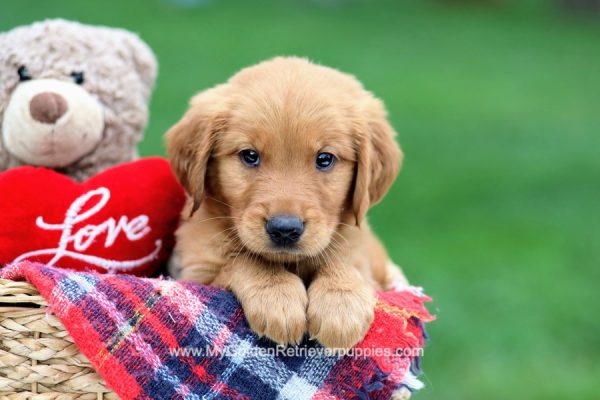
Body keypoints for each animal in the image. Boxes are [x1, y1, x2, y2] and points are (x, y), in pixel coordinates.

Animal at [166, 56, 406, 350]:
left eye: (325, 159)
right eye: (249, 155)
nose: (284, 229)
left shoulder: (363, 259)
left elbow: (340, 261)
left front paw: (341, 303)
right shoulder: (198, 274)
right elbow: (243, 261)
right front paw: (277, 297)